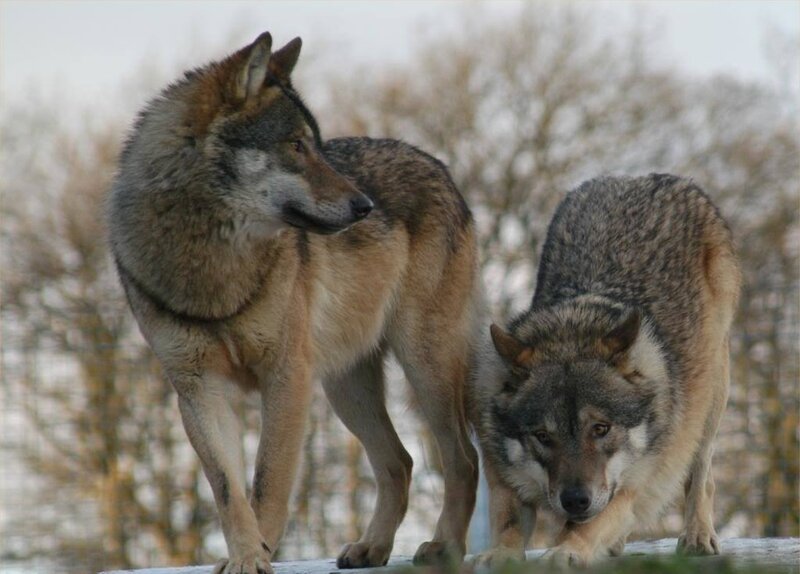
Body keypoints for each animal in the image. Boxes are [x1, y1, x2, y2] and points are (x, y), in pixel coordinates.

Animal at [108, 32, 481, 574]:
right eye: (297, 145)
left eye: (318, 145)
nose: (365, 206)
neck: (212, 266)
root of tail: (441, 168)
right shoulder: (197, 389)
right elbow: (228, 491)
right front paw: (245, 556)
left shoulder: (286, 378)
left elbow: (268, 481)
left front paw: (259, 555)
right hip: (345, 387)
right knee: (400, 461)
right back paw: (372, 547)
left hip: (422, 367)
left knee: (463, 460)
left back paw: (444, 547)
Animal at [470, 174, 741, 566]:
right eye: (542, 436)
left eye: (601, 429)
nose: (575, 500)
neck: (571, 330)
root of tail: (640, 177)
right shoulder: (503, 474)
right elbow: (509, 522)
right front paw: (499, 554)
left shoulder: (631, 486)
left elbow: (589, 524)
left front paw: (566, 550)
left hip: (711, 397)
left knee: (701, 474)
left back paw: (698, 535)